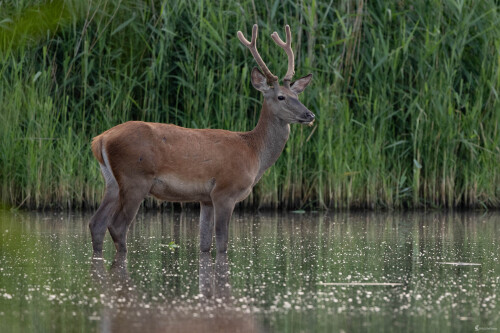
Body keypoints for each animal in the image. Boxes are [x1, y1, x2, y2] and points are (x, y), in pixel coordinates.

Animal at [89, 24, 314, 255]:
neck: (254, 151)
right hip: (135, 178)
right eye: (281, 97)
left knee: (96, 223)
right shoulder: (225, 190)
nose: (309, 115)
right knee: (116, 225)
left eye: (297, 96)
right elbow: (222, 242)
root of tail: (100, 140)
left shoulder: (205, 198)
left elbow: (204, 244)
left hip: (112, 182)